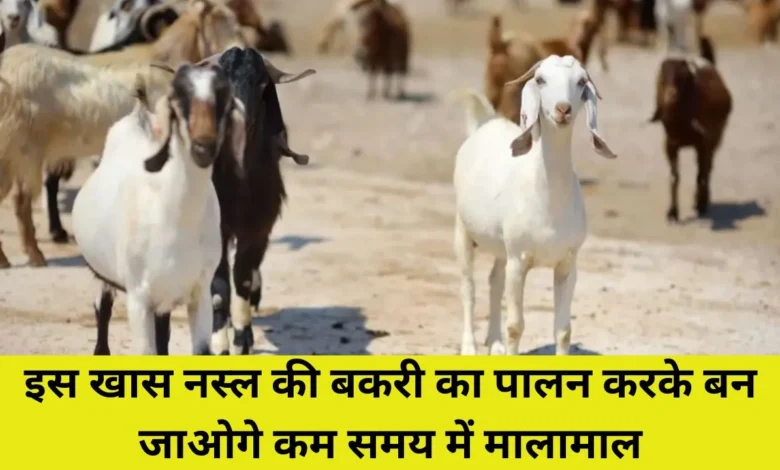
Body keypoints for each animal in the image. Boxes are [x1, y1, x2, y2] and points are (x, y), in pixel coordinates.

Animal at [72, 62, 246, 355]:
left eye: (224, 101)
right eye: (180, 101)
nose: (203, 145)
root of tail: (137, 118)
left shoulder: (200, 290)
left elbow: (199, 350)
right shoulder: (138, 297)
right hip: (108, 274)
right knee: (102, 307)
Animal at [196, 47, 314, 355]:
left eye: (262, 86)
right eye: (221, 84)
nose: (241, 117)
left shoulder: (258, 227)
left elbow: (243, 279)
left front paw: (241, 340)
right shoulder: (217, 231)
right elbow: (220, 287)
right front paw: (219, 345)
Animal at [454, 55, 616, 356]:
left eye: (581, 81)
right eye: (540, 80)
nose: (563, 109)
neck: (549, 201)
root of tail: (484, 125)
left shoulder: (567, 263)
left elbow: (563, 331)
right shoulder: (519, 261)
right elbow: (515, 327)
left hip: (502, 248)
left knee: (494, 282)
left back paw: (494, 343)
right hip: (462, 230)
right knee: (468, 287)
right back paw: (469, 346)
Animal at [649, 36, 731, 222]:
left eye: (683, 79)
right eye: (663, 79)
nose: (671, 95)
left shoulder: (704, 143)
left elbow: (701, 173)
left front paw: (700, 205)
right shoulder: (670, 144)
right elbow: (675, 176)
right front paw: (672, 212)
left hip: (716, 139)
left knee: (707, 169)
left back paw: (702, 200)